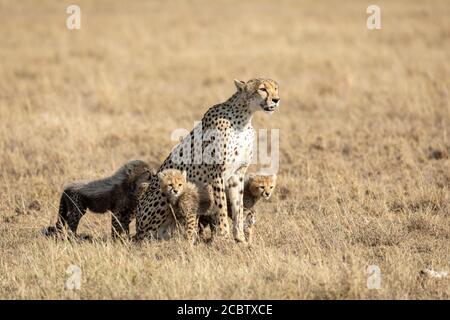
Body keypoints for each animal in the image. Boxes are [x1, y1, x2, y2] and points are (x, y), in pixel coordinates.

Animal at [135, 78, 280, 242]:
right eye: (262, 89)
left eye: (276, 88)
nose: (276, 99)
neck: (243, 118)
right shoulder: (217, 174)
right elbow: (222, 207)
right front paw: (224, 237)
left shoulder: (237, 174)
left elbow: (238, 207)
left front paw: (240, 239)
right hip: (166, 195)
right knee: (146, 236)